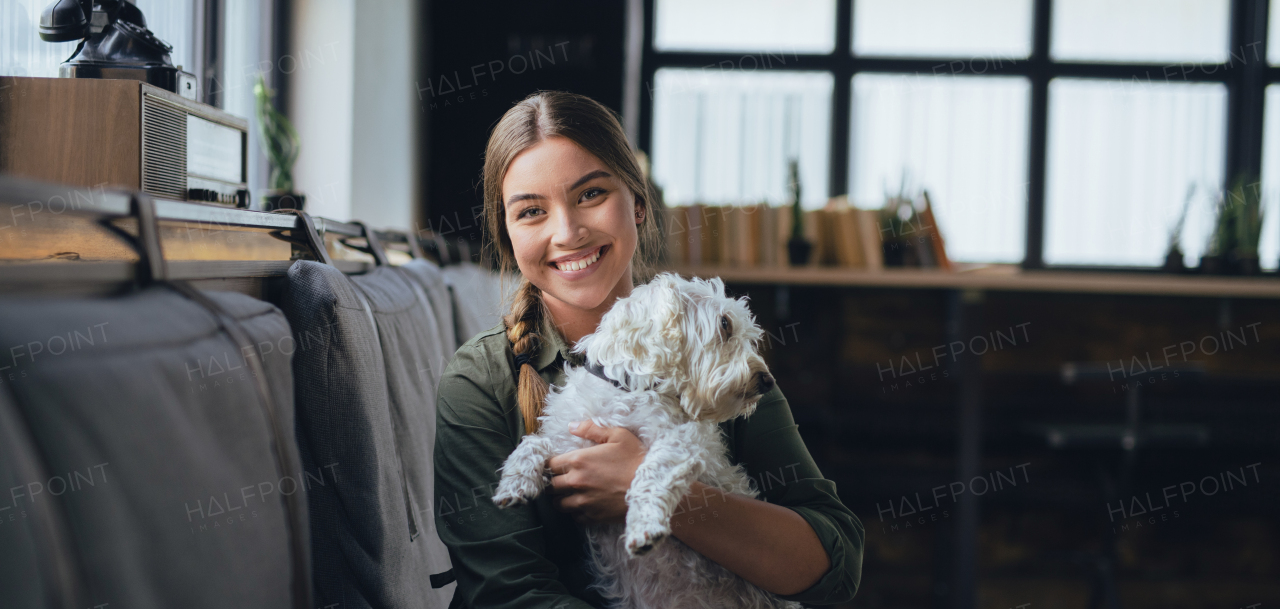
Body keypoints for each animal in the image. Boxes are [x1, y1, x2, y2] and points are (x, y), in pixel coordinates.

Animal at [491, 272, 798, 609]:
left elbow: (652, 473)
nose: (767, 381)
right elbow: (533, 443)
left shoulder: (682, 440)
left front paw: (644, 526)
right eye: (725, 324)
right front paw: (514, 483)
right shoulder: (569, 442)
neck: (628, 389)